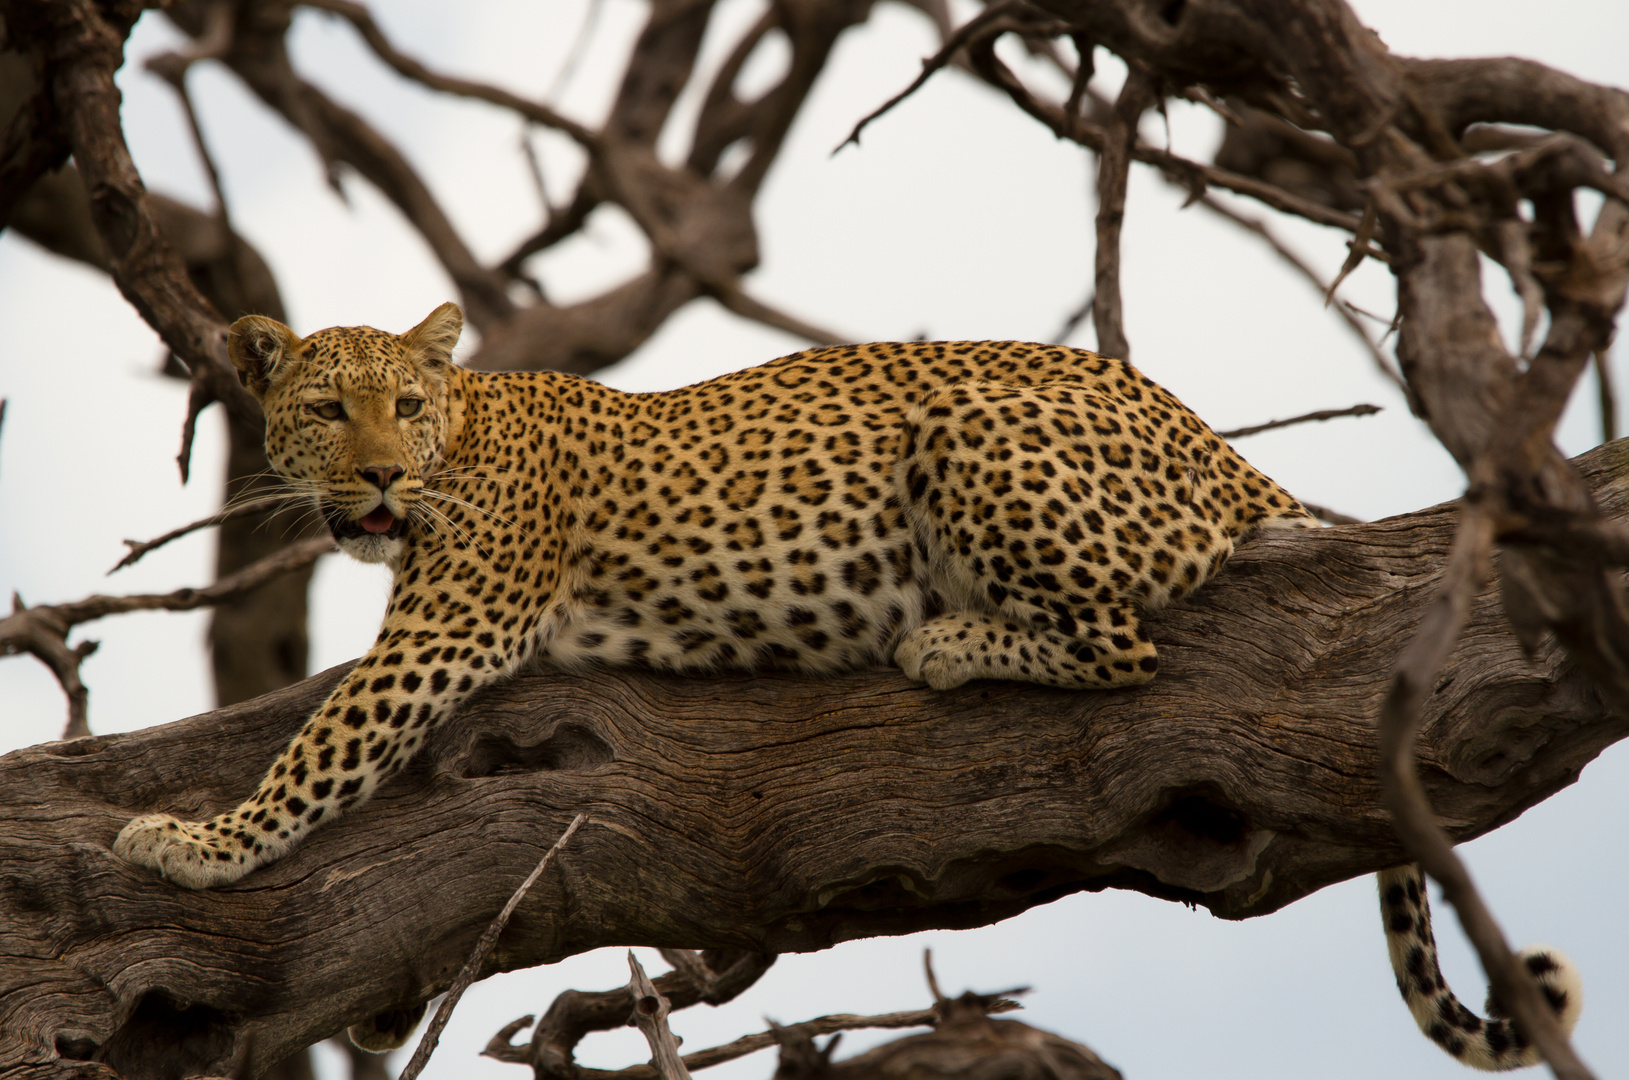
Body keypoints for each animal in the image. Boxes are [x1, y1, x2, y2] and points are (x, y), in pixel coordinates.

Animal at [111, 304, 1576, 1062]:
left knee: (1121, 642)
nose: (376, 476)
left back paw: (943, 642)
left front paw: (196, 842)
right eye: (326, 409)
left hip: (973, 438)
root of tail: (1211, 439)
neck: (465, 433)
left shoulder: (449, 628)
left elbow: (321, 746)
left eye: (403, 409)